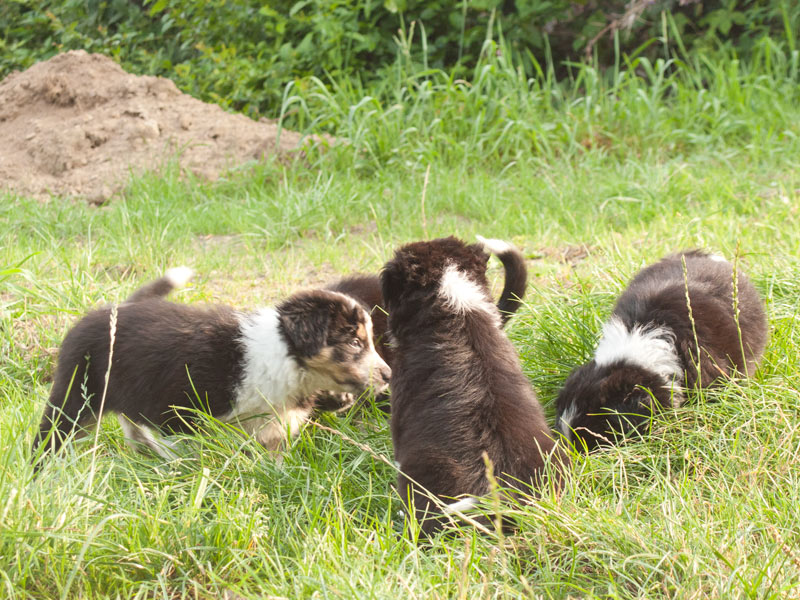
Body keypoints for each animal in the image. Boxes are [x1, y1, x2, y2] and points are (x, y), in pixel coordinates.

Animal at [31, 268, 390, 468]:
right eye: (354, 343)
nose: (389, 375)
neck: (283, 356)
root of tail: (110, 309)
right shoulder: (179, 412)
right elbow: (188, 451)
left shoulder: (272, 430)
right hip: (76, 396)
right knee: (50, 437)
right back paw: (41, 475)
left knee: (132, 428)